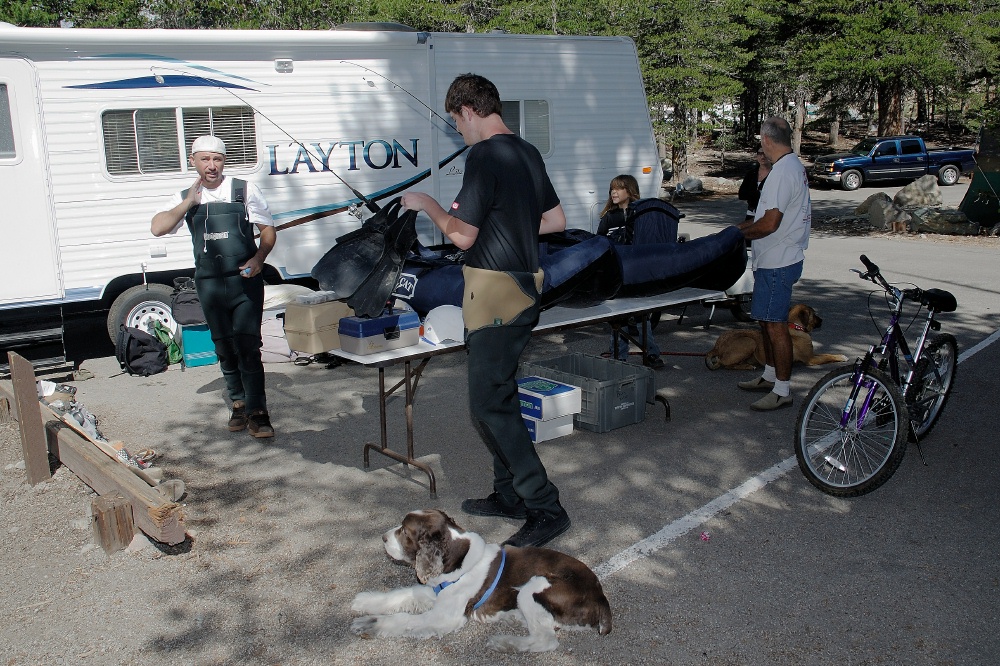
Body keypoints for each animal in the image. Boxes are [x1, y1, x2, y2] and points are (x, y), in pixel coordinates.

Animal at [352, 508, 608, 648]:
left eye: (405, 531)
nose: (383, 538)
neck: (458, 558)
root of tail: (600, 597)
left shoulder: (445, 616)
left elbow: (404, 618)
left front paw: (369, 623)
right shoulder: (435, 590)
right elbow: (401, 595)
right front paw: (363, 601)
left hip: (534, 586)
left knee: (546, 640)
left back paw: (504, 643)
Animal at [704, 304, 844, 370]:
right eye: (813, 315)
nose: (822, 320)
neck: (795, 327)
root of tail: (716, 347)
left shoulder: (811, 354)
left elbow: (827, 353)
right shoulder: (810, 359)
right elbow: (828, 357)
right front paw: (842, 357)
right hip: (749, 341)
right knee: (725, 364)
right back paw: (747, 366)